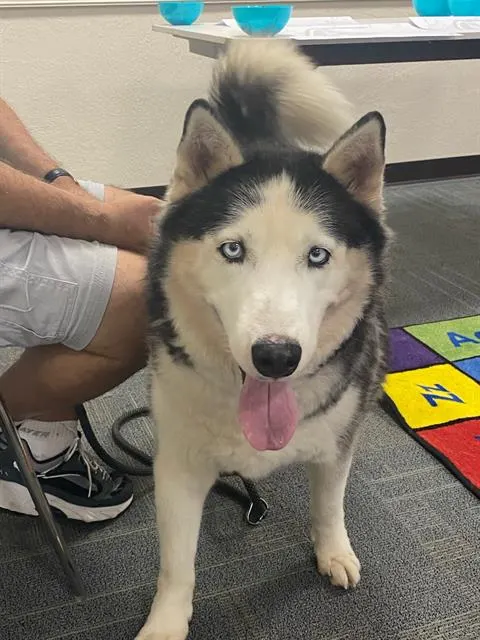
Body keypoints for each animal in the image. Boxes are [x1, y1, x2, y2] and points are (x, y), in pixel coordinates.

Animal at [137, 39, 390, 640]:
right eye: (233, 249)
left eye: (317, 255)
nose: (276, 356)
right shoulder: (177, 464)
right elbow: (177, 564)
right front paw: (165, 623)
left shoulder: (338, 441)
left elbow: (329, 504)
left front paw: (333, 551)